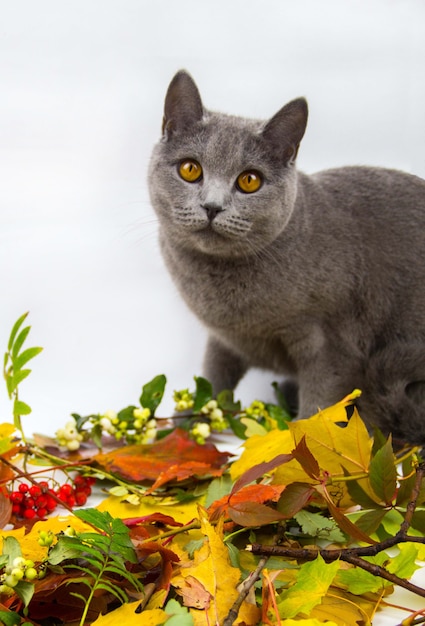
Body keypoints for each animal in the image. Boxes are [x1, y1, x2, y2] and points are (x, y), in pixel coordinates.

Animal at [148, 69, 424, 444]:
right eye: (190, 169)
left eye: (250, 180)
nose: (212, 206)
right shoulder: (223, 341)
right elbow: (213, 380)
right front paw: (180, 430)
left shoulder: (330, 344)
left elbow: (318, 407)